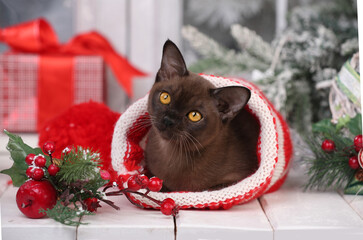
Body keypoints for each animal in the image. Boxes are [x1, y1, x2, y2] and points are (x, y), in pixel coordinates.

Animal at [144, 40, 260, 192]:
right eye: (165, 97)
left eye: (194, 115)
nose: (168, 120)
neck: (171, 152)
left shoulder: (237, 178)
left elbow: (209, 188)